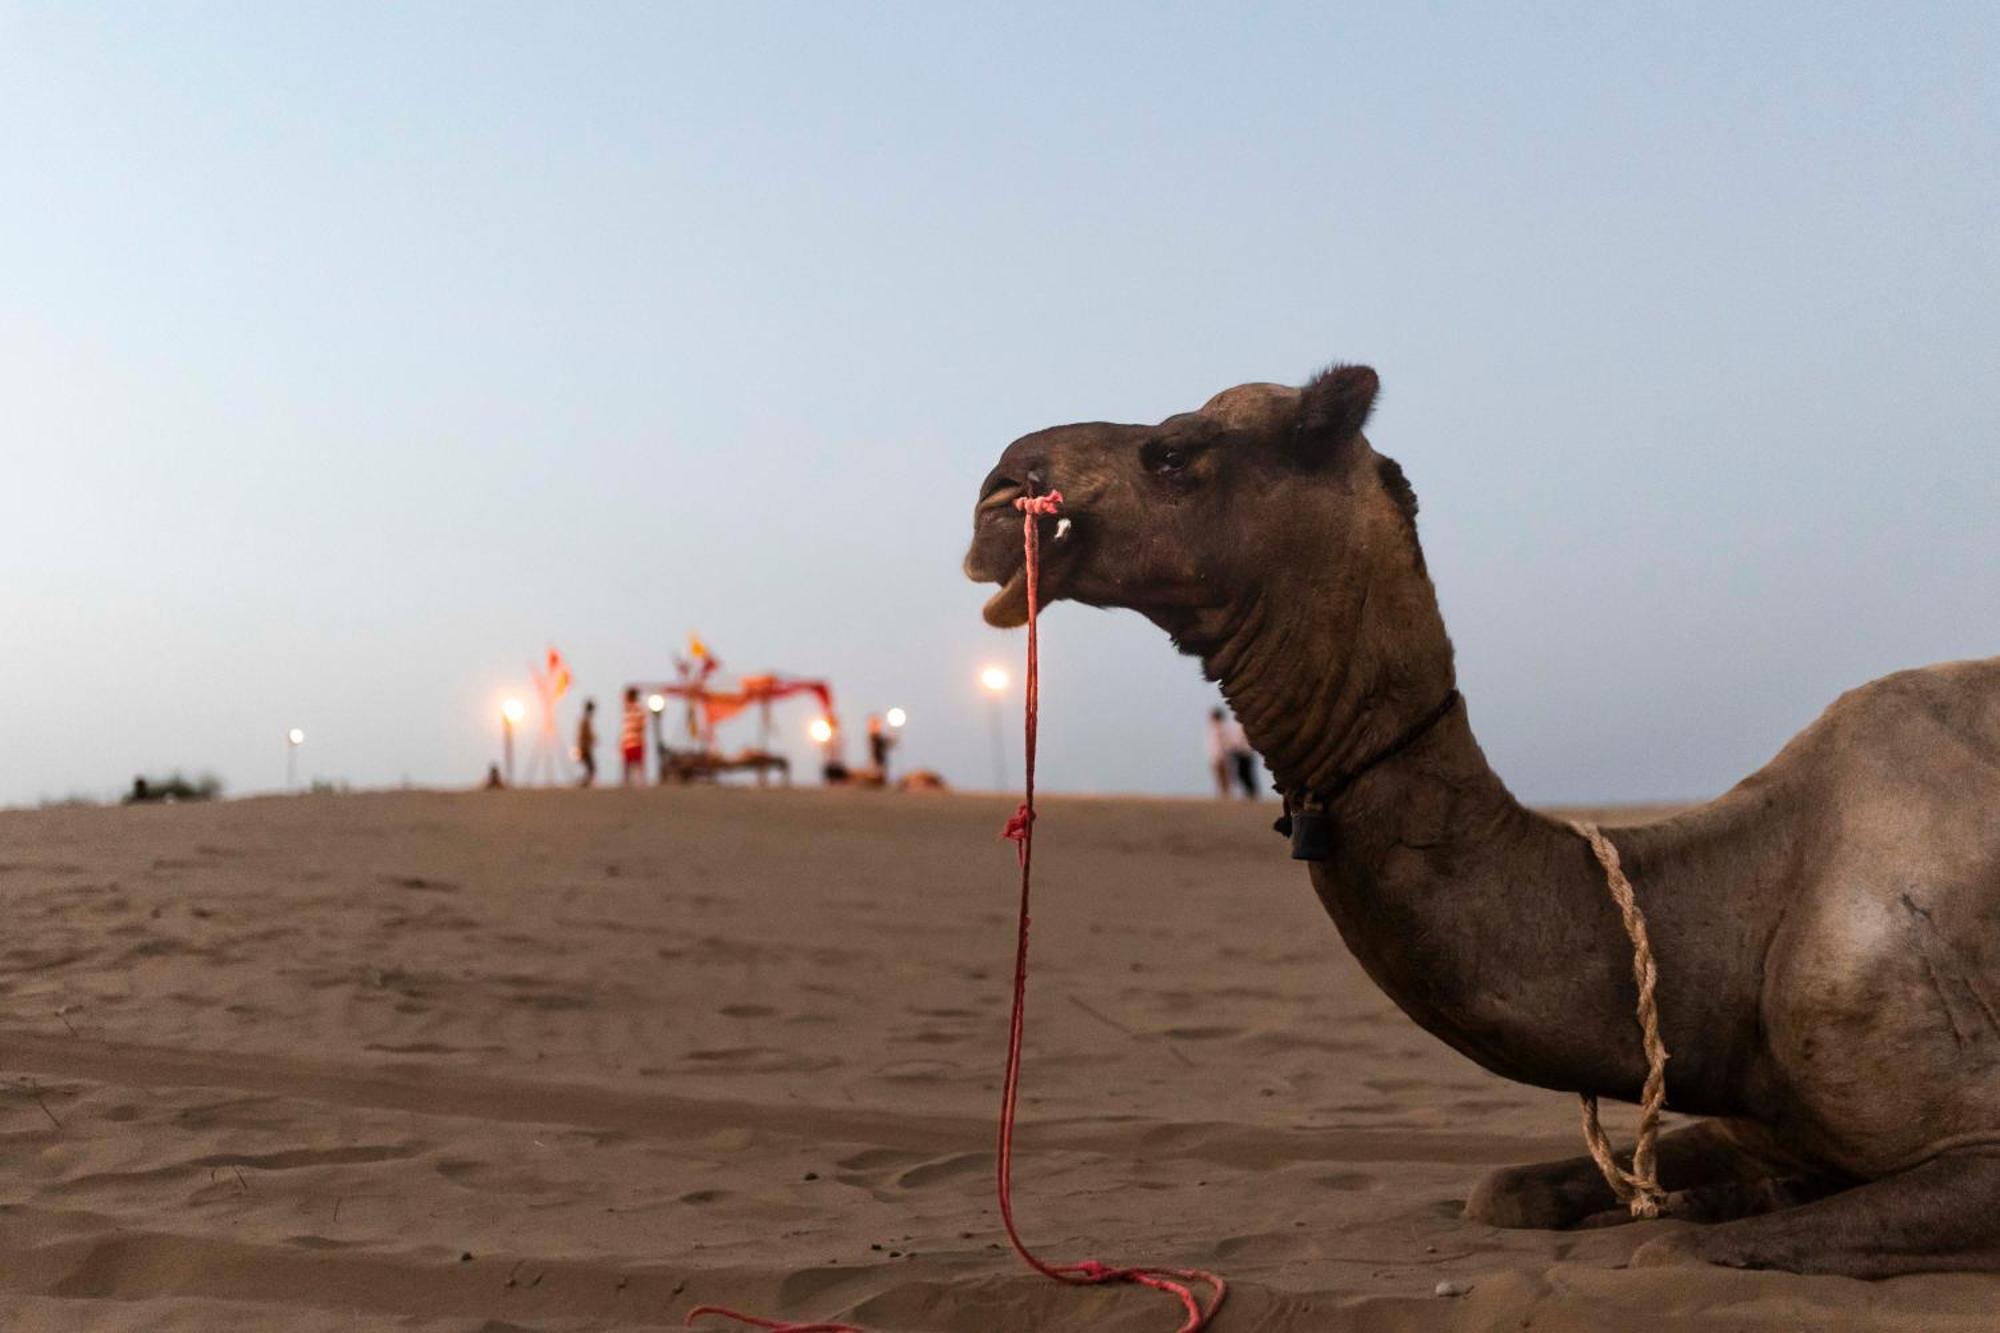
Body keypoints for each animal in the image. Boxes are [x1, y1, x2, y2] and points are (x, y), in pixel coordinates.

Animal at [960, 358, 1992, 1272]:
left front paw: (1699, 1214)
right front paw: (1701, 1196)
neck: (1740, 918)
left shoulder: (1976, 1151)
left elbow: (1670, 1250)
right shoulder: (1761, 1120)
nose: (999, 489)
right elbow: (1505, 1191)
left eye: (1173, 452)